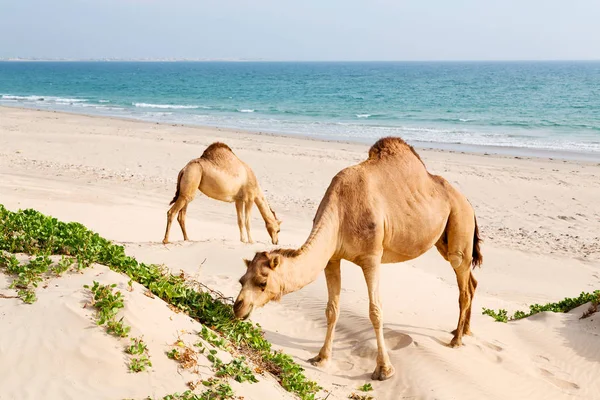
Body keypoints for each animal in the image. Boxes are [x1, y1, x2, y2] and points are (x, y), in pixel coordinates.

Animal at [233, 137, 482, 382]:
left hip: (460, 223)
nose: (237, 307)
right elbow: (332, 309)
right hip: (443, 239)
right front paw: (322, 358)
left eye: (262, 282)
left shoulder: (371, 257)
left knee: (463, 285)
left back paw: (456, 340)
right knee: (471, 282)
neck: (340, 213)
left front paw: (384, 370)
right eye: (241, 280)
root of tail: (467, 202)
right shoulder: (332, 258)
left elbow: (375, 311)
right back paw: (464, 331)